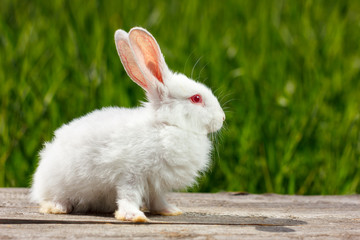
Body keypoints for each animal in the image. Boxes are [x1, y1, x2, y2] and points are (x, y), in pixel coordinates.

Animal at [30, 27, 225, 222]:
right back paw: (57, 208)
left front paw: (170, 210)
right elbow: (128, 196)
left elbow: (157, 199)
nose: (222, 118)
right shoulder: (131, 175)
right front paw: (134, 216)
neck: (166, 126)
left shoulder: (155, 184)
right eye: (196, 98)